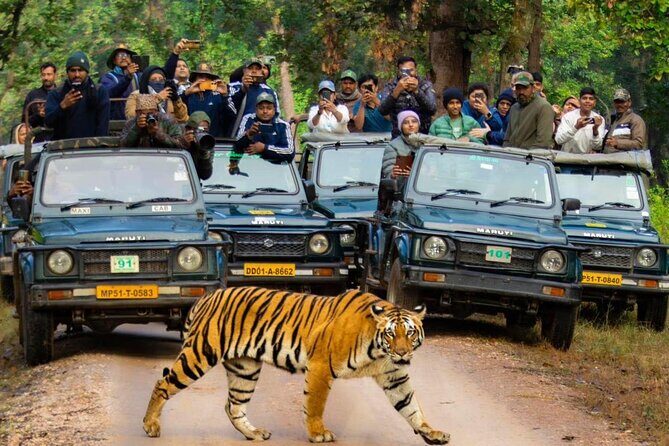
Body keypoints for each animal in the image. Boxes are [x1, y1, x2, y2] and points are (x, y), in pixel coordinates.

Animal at [142, 286, 450, 445]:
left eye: (410, 333)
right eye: (391, 334)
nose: (402, 353)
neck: (378, 351)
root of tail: (207, 296)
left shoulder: (394, 375)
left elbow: (411, 407)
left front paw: (431, 432)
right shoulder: (321, 366)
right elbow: (315, 404)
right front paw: (318, 433)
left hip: (245, 369)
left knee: (233, 406)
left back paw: (254, 433)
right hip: (200, 354)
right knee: (161, 383)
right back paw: (150, 426)